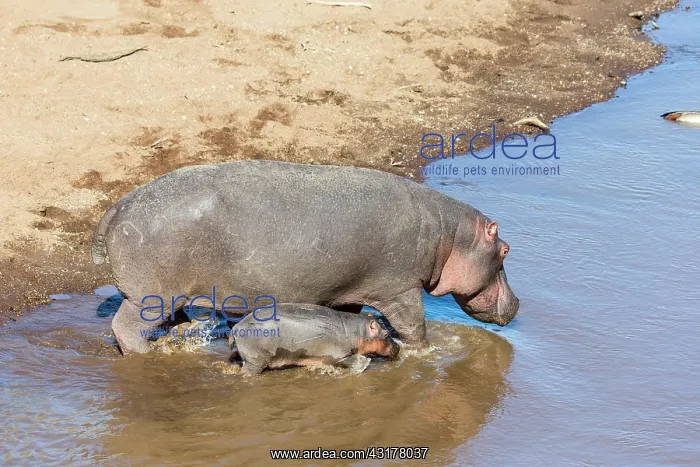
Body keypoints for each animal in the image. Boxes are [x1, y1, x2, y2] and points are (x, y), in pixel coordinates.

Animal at [91, 160, 519, 354]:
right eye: (505, 250)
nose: (517, 303)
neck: (451, 235)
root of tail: (118, 205)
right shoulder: (399, 289)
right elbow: (414, 326)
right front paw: (426, 352)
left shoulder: (350, 290)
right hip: (149, 296)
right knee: (126, 326)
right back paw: (146, 354)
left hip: (172, 293)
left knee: (171, 320)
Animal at [228, 303, 400, 374]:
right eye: (386, 334)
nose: (398, 347)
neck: (356, 331)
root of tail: (236, 327)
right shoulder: (338, 356)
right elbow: (351, 360)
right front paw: (364, 363)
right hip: (255, 362)